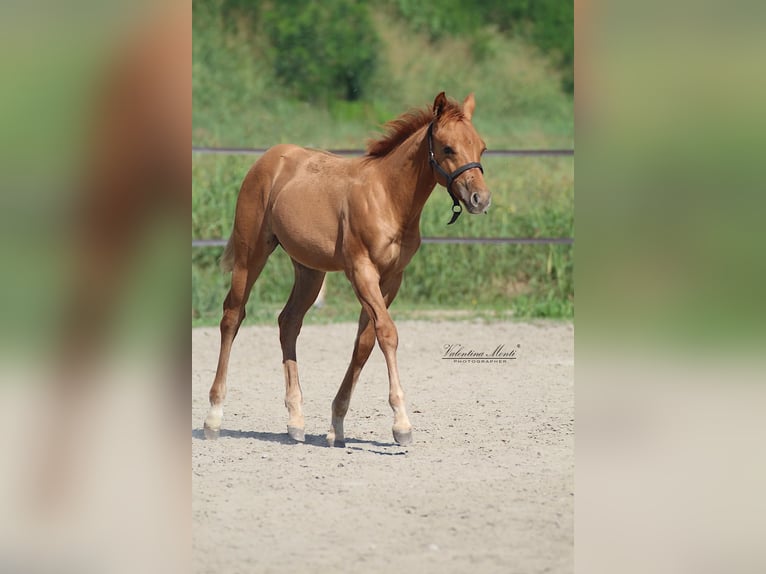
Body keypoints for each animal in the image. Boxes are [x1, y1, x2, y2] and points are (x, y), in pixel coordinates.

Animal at [203, 92, 491, 446]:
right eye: (448, 148)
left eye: (481, 148)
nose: (481, 199)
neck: (388, 197)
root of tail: (268, 159)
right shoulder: (361, 271)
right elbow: (387, 334)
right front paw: (401, 425)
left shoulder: (391, 279)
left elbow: (365, 342)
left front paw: (336, 425)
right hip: (250, 255)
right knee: (233, 316)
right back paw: (214, 417)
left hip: (309, 270)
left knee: (288, 322)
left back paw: (296, 420)